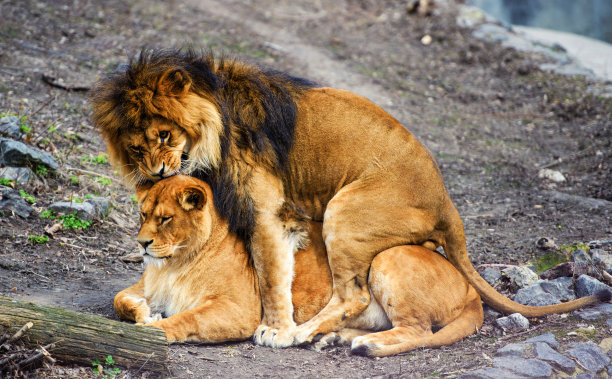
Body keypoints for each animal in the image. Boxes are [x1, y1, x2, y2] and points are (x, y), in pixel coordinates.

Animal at [113, 175, 488, 356]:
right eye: (143, 214)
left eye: (165, 219)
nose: (142, 243)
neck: (175, 263)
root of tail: (470, 288)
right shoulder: (143, 286)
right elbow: (121, 299)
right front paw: (146, 313)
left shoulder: (240, 310)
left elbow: (184, 319)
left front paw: (150, 329)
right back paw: (333, 339)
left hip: (387, 257)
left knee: (419, 331)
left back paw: (365, 346)